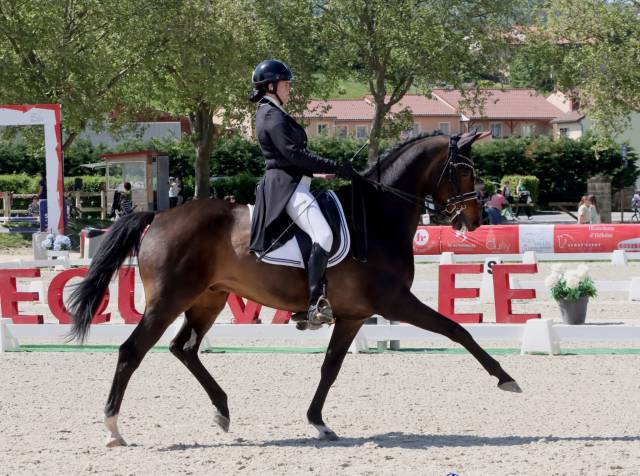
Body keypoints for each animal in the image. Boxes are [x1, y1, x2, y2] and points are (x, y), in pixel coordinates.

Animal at [69, 132, 522, 447]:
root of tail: (159, 217)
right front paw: (506, 379)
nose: (475, 219)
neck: (377, 216)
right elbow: (457, 329)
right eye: (464, 170)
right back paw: (113, 429)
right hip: (168, 300)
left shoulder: (354, 315)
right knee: (132, 351)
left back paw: (223, 410)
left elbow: (330, 367)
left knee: (185, 348)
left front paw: (319, 423)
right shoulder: (396, 302)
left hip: (208, 298)